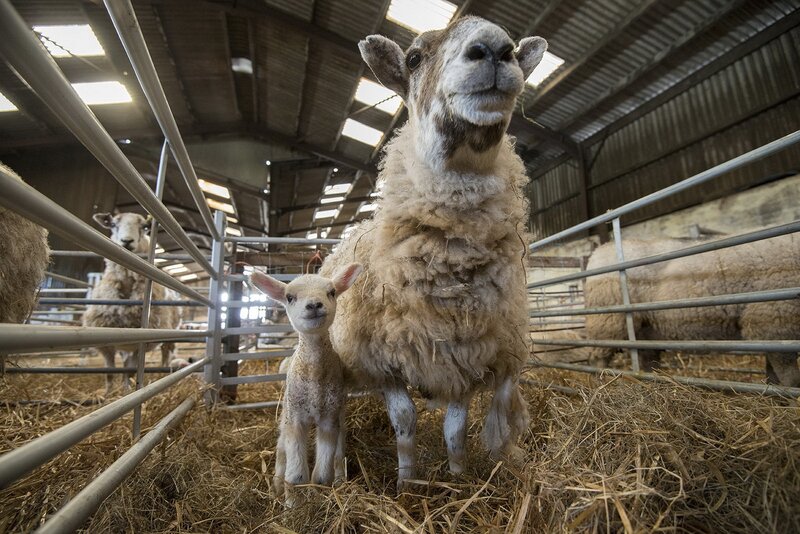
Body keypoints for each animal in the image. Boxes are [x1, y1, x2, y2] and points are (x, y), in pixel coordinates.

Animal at [82, 211, 181, 393]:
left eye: (145, 227)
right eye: (113, 225)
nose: (127, 241)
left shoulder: (141, 341)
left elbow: (130, 368)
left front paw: (126, 391)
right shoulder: (106, 337)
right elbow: (110, 371)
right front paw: (109, 393)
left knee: (165, 352)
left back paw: (161, 373)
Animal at [249, 263, 364, 507]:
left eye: (331, 292)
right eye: (289, 297)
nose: (314, 305)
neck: (314, 378)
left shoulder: (329, 419)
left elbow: (321, 474)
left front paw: (318, 496)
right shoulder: (295, 420)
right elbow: (296, 474)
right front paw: (293, 505)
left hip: (339, 412)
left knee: (339, 451)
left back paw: (340, 478)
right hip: (287, 410)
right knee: (281, 450)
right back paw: (276, 487)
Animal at [318, 17, 548, 486]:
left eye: (514, 50)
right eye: (413, 58)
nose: (494, 49)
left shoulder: (465, 359)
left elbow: (455, 429)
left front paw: (458, 479)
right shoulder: (383, 361)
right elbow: (405, 420)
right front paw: (407, 481)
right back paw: (339, 467)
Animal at [584, 233, 800, 386]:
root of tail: (598, 251)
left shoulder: (772, 332)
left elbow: (774, 373)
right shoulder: (774, 323)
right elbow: (790, 378)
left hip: (645, 328)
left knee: (647, 360)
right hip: (609, 320)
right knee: (598, 358)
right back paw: (599, 383)